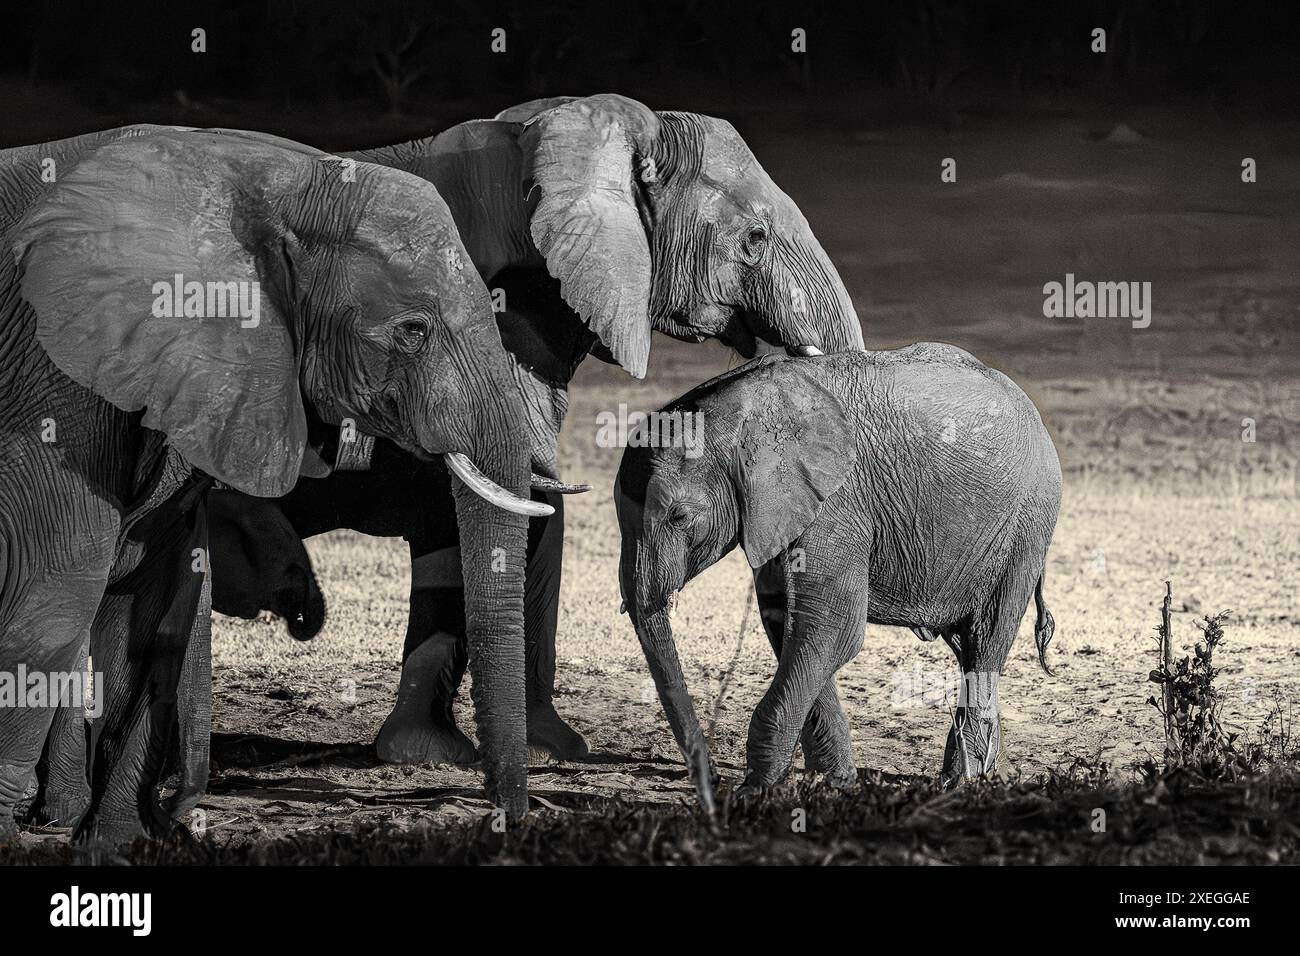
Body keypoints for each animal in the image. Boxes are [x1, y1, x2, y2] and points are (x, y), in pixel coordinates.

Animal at [0, 121, 538, 842]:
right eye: (411, 330)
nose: (505, 818)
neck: (268, 179)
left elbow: (147, 604)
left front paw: (118, 846)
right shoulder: (53, 382)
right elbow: (55, 595)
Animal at [613, 348, 1060, 796]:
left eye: (680, 516)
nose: (713, 780)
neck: (743, 412)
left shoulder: (837, 502)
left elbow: (831, 629)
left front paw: (754, 793)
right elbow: (788, 624)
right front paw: (835, 783)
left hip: (1026, 525)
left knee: (986, 638)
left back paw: (962, 781)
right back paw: (982, 773)